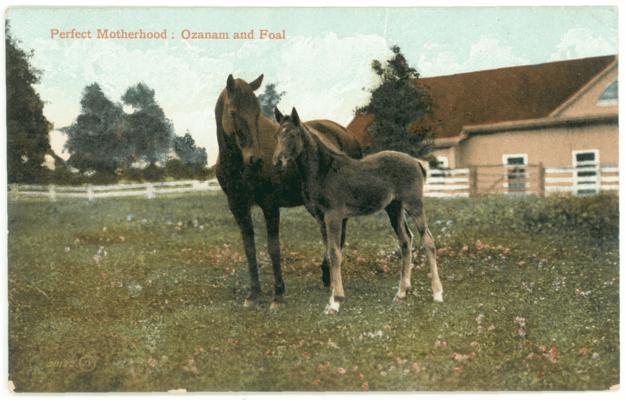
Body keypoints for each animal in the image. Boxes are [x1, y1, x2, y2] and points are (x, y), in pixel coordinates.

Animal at [214, 73, 360, 308]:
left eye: (257, 113)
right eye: (233, 112)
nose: (255, 159)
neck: (238, 166)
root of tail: (346, 133)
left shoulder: (270, 206)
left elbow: (273, 248)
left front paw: (278, 296)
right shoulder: (238, 208)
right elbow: (249, 249)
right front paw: (253, 294)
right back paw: (327, 274)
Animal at [272, 108, 444, 314]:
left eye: (292, 134)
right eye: (277, 135)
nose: (277, 162)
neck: (324, 171)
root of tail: (417, 163)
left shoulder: (333, 216)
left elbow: (335, 253)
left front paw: (336, 301)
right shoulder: (321, 219)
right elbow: (329, 253)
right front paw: (332, 297)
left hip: (414, 205)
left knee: (428, 241)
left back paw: (437, 293)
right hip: (394, 208)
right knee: (405, 241)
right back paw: (401, 293)